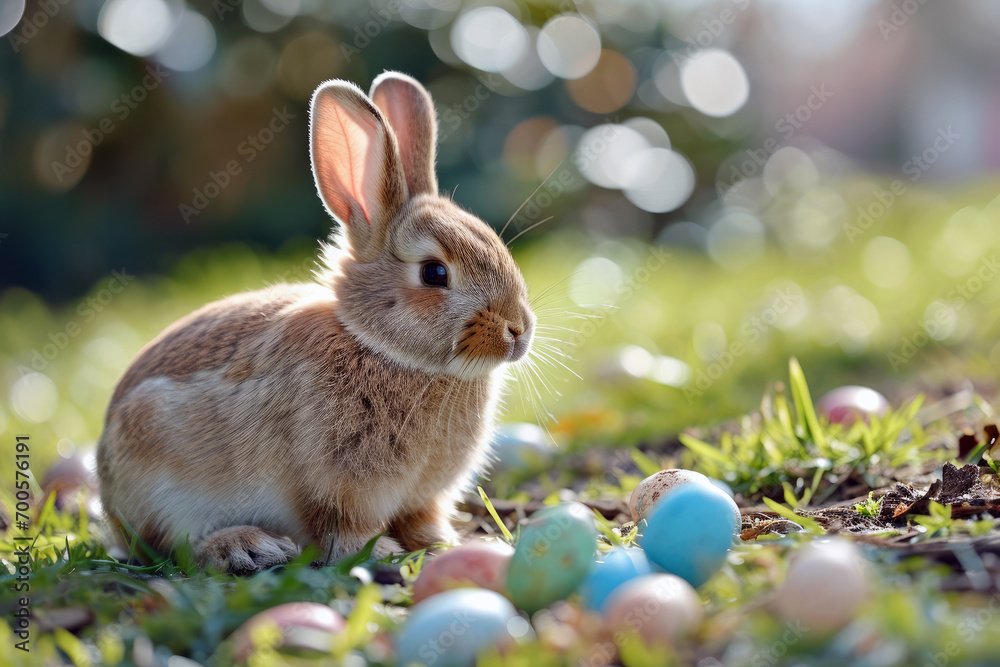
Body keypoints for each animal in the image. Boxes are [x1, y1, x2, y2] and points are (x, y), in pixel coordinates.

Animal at [96, 72, 536, 575]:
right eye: (434, 273)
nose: (519, 330)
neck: (380, 347)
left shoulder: (422, 497)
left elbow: (421, 519)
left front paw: (441, 543)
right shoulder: (332, 488)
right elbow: (340, 530)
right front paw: (381, 553)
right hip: (161, 479)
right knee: (175, 546)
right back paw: (246, 547)